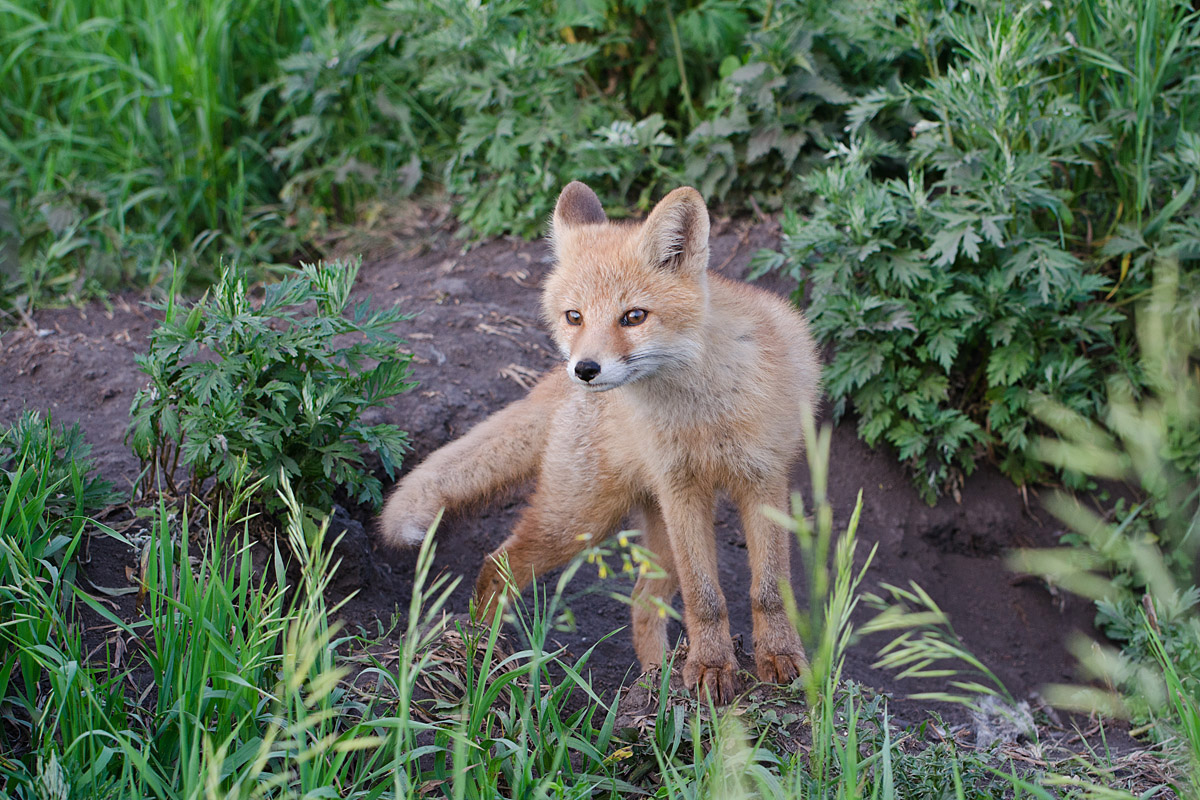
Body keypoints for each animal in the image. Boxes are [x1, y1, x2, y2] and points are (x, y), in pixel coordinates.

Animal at [379, 183, 820, 700]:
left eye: (634, 316)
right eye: (575, 316)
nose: (585, 369)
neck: (703, 411)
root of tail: (555, 384)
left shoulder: (762, 479)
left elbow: (768, 589)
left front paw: (778, 659)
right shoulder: (682, 489)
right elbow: (705, 598)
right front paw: (712, 667)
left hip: (650, 535)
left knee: (641, 604)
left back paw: (654, 678)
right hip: (579, 520)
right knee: (497, 565)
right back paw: (481, 653)